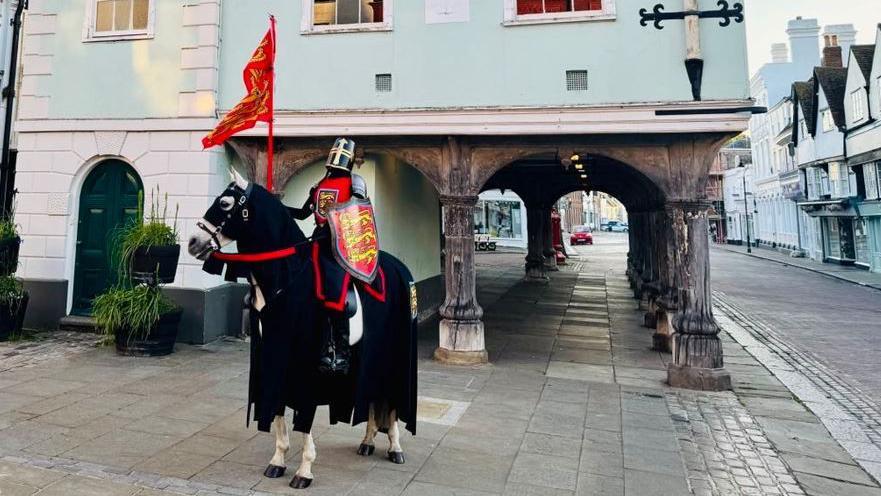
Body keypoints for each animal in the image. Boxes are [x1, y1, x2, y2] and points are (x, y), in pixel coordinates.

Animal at [186, 170, 420, 488]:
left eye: (224, 203)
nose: (193, 242)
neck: (287, 277)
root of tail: (400, 268)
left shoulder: (303, 365)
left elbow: (304, 418)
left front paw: (304, 470)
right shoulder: (273, 356)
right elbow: (278, 412)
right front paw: (277, 461)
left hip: (397, 351)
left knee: (392, 400)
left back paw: (395, 446)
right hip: (369, 355)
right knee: (372, 395)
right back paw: (368, 441)